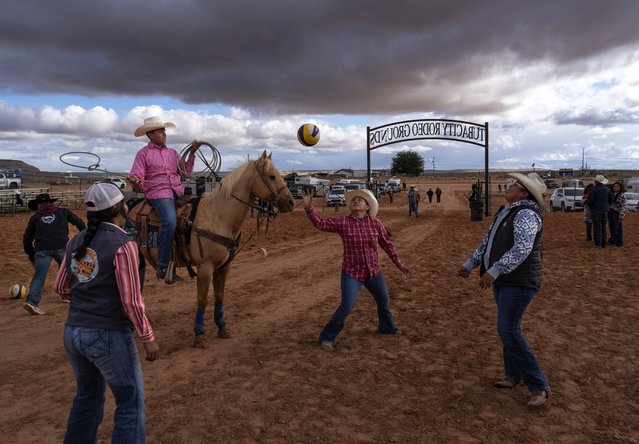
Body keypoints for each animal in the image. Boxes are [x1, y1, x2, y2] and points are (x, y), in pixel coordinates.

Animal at [186, 151, 294, 346]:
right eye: (271, 176)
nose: (291, 202)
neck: (218, 217)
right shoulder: (205, 267)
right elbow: (202, 300)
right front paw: (199, 334)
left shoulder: (224, 266)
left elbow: (220, 295)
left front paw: (222, 326)